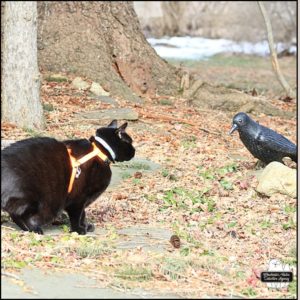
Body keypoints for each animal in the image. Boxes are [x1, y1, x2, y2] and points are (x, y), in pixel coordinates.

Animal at [1, 119, 135, 234]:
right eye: (129, 142)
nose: (134, 151)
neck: (99, 151)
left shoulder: (83, 200)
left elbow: (83, 214)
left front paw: (86, 226)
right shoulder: (79, 198)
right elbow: (77, 216)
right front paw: (79, 229)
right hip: (34, 199)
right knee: (20, 214)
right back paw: (34, 229)